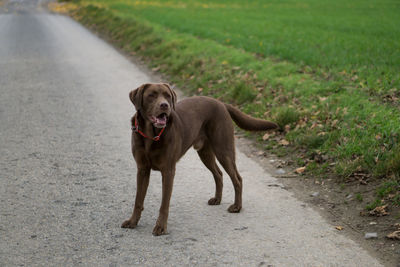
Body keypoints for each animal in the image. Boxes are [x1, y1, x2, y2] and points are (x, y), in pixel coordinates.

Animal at [122, 82, 278, 236]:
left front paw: (160, 227)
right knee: (218, 174)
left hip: (223, 150)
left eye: (167, 96)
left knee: (237, 178)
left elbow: (164, 204)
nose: (165, 105)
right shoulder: (142, 169)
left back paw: (237, 207)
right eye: (151, 95)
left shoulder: (168, 171)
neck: (150, 136)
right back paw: (217, 199)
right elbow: (138, 200)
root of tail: (221, 103)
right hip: (205, 153)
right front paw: (132, 222)